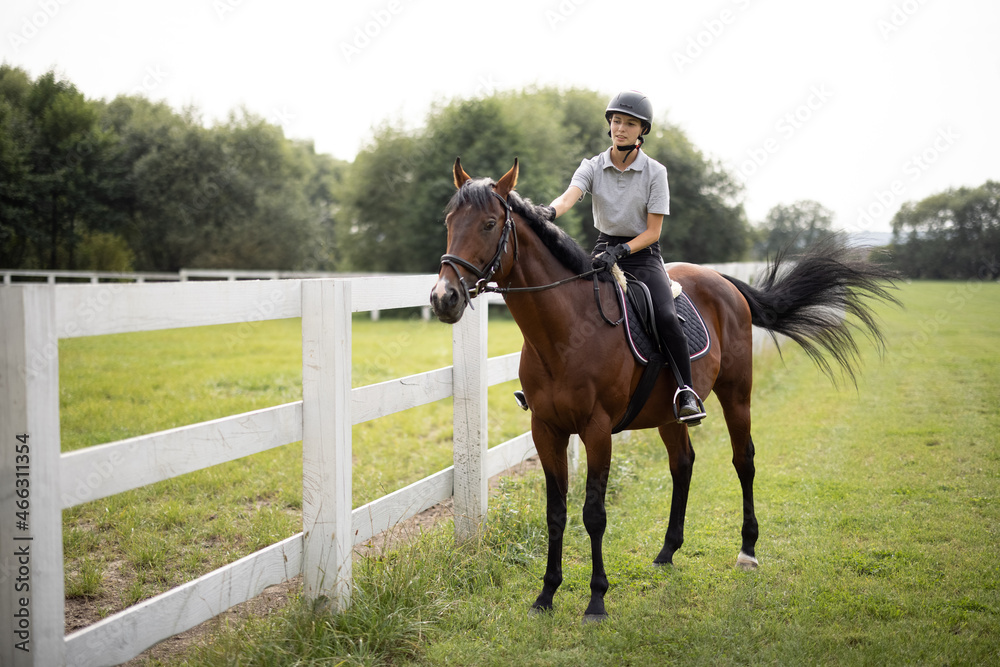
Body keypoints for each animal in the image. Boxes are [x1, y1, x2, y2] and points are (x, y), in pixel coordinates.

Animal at [430, 159, 900, 624]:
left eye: (490, 224)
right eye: (449, 222)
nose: (443, 298)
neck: (569, 331)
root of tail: (722, 280)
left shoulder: (596, 431)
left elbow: (593, 514)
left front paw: (596, 600)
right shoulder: (546, 430)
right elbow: (556, 513)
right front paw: (546, 595)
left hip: (737, 393)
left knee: (743, 461)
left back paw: (747, 551)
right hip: (668, 413)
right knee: (683, 463)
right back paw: (668, 551)